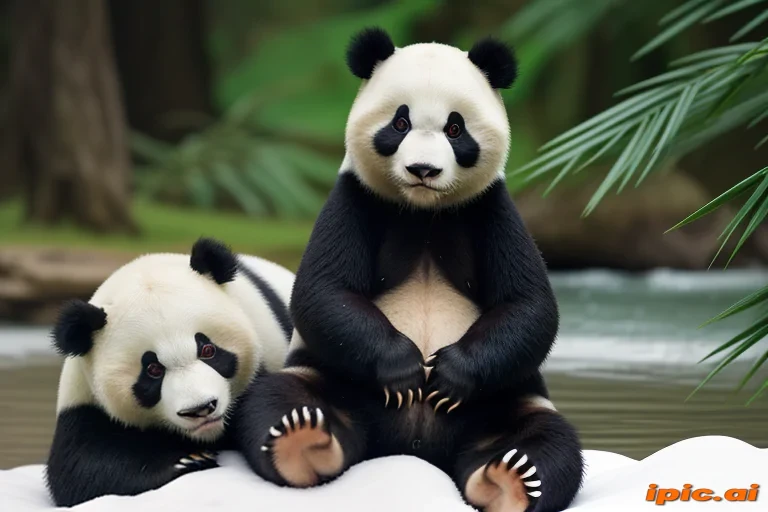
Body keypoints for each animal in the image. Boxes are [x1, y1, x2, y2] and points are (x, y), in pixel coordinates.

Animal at [46, 238, 294, 507]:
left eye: (207, 350)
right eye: (153, 369)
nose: (200, 409)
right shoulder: (84, 400)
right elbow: (81, 467)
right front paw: (188, 461)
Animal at [232, 29, 584, 512]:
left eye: (455, 128)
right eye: (400, 124)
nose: (423, 169)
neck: (423, 211)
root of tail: (415, 450)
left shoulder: (489, 209)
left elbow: (528, 304)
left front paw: (449, 376)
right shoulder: (357, 197)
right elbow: (323, 291)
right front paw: (404, 369)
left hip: (509, 399)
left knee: (546, 439)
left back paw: (510, 478)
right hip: (333, 378)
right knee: (277, 399)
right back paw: (300, 440)